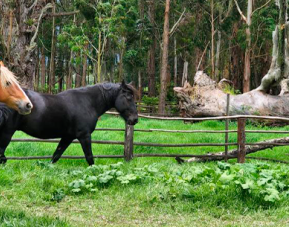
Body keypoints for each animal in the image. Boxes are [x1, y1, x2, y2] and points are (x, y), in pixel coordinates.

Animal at [0, 81, 138, 165]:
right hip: (6, 133)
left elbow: (56, 155)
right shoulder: (84, 135)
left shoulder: (68, 136)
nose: (135, 119)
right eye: (128, 97)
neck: (88, 102)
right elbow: (89, 157)